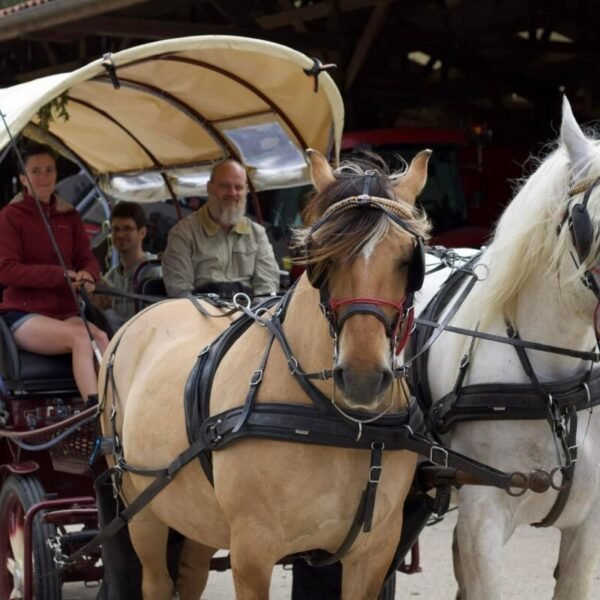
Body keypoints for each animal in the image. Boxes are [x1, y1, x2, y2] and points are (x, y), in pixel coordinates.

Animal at [98, 150, 434, 600]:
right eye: (322, 257)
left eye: (407, 259)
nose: (362, 378)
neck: (341, 424)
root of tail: (142, 315)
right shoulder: (252, 552)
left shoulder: (373, 552)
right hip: (142, 506)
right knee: (155, 581)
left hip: (197, 514)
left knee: (191, 574)